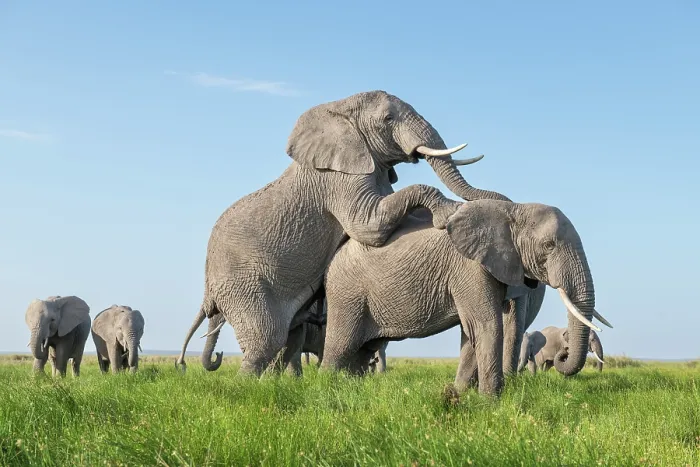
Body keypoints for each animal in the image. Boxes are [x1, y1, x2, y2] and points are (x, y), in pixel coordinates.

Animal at [191, 90, 510, 377]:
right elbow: (368, 227)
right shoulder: (338, 179)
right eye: (388, 118)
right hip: (243, 285)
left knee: (285, 337)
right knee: (265, 339)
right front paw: (449, 212)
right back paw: (249, 387)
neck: (341, 108)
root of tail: (207, 285)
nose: (504, 199)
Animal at [321, 199, 612, 396]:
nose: (562, 355)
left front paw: (459, 394)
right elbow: (487, 325)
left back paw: (352, 389)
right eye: (549, 245)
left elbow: (471, 332)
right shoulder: (469, 267)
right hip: (347, 294)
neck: (513, 209)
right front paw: (491, 402)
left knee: (362, 351)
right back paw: (327, 389)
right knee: (341, 346)